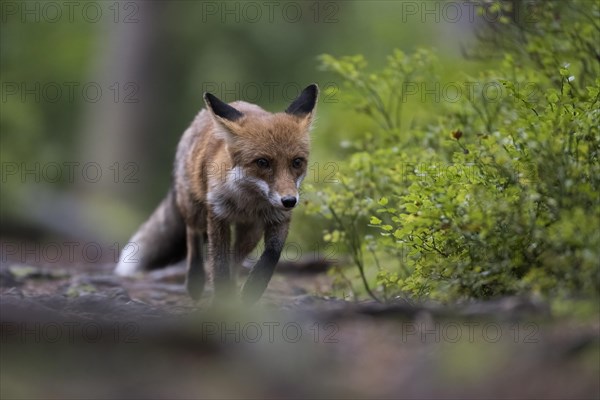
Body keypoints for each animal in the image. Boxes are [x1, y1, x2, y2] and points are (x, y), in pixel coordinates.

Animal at [116, 85, 318, 304]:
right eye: (263, 162)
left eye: (297, 162)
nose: (289, 201)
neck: (248, 202)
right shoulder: (218, 215)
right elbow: (219, 264)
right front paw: (221, 301)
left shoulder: (278, 218)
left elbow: (270, 256)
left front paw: (251, 290)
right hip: (195, 210)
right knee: (193, 236)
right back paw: (195, 281)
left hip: (250, 232)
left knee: (235, 258)